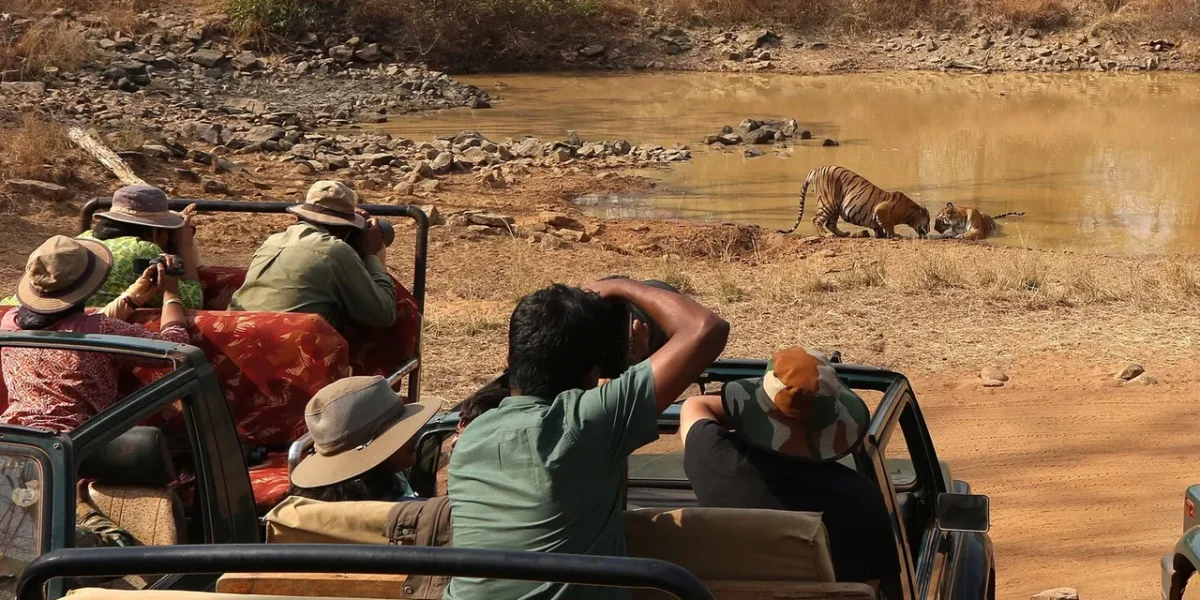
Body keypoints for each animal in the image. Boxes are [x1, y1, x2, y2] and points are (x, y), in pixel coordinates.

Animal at [778, 166, 930, 239]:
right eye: (928, 220)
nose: (929, 229)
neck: (909, 212)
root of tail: (814, 170)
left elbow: (879, 227)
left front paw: (880, 235)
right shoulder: (881, 210)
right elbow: (889, 226)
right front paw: (895, 236)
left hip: (836, 207)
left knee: (830, 223)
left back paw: (844, 234)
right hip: (828, 203)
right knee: (816, 220)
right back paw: (825, 235)